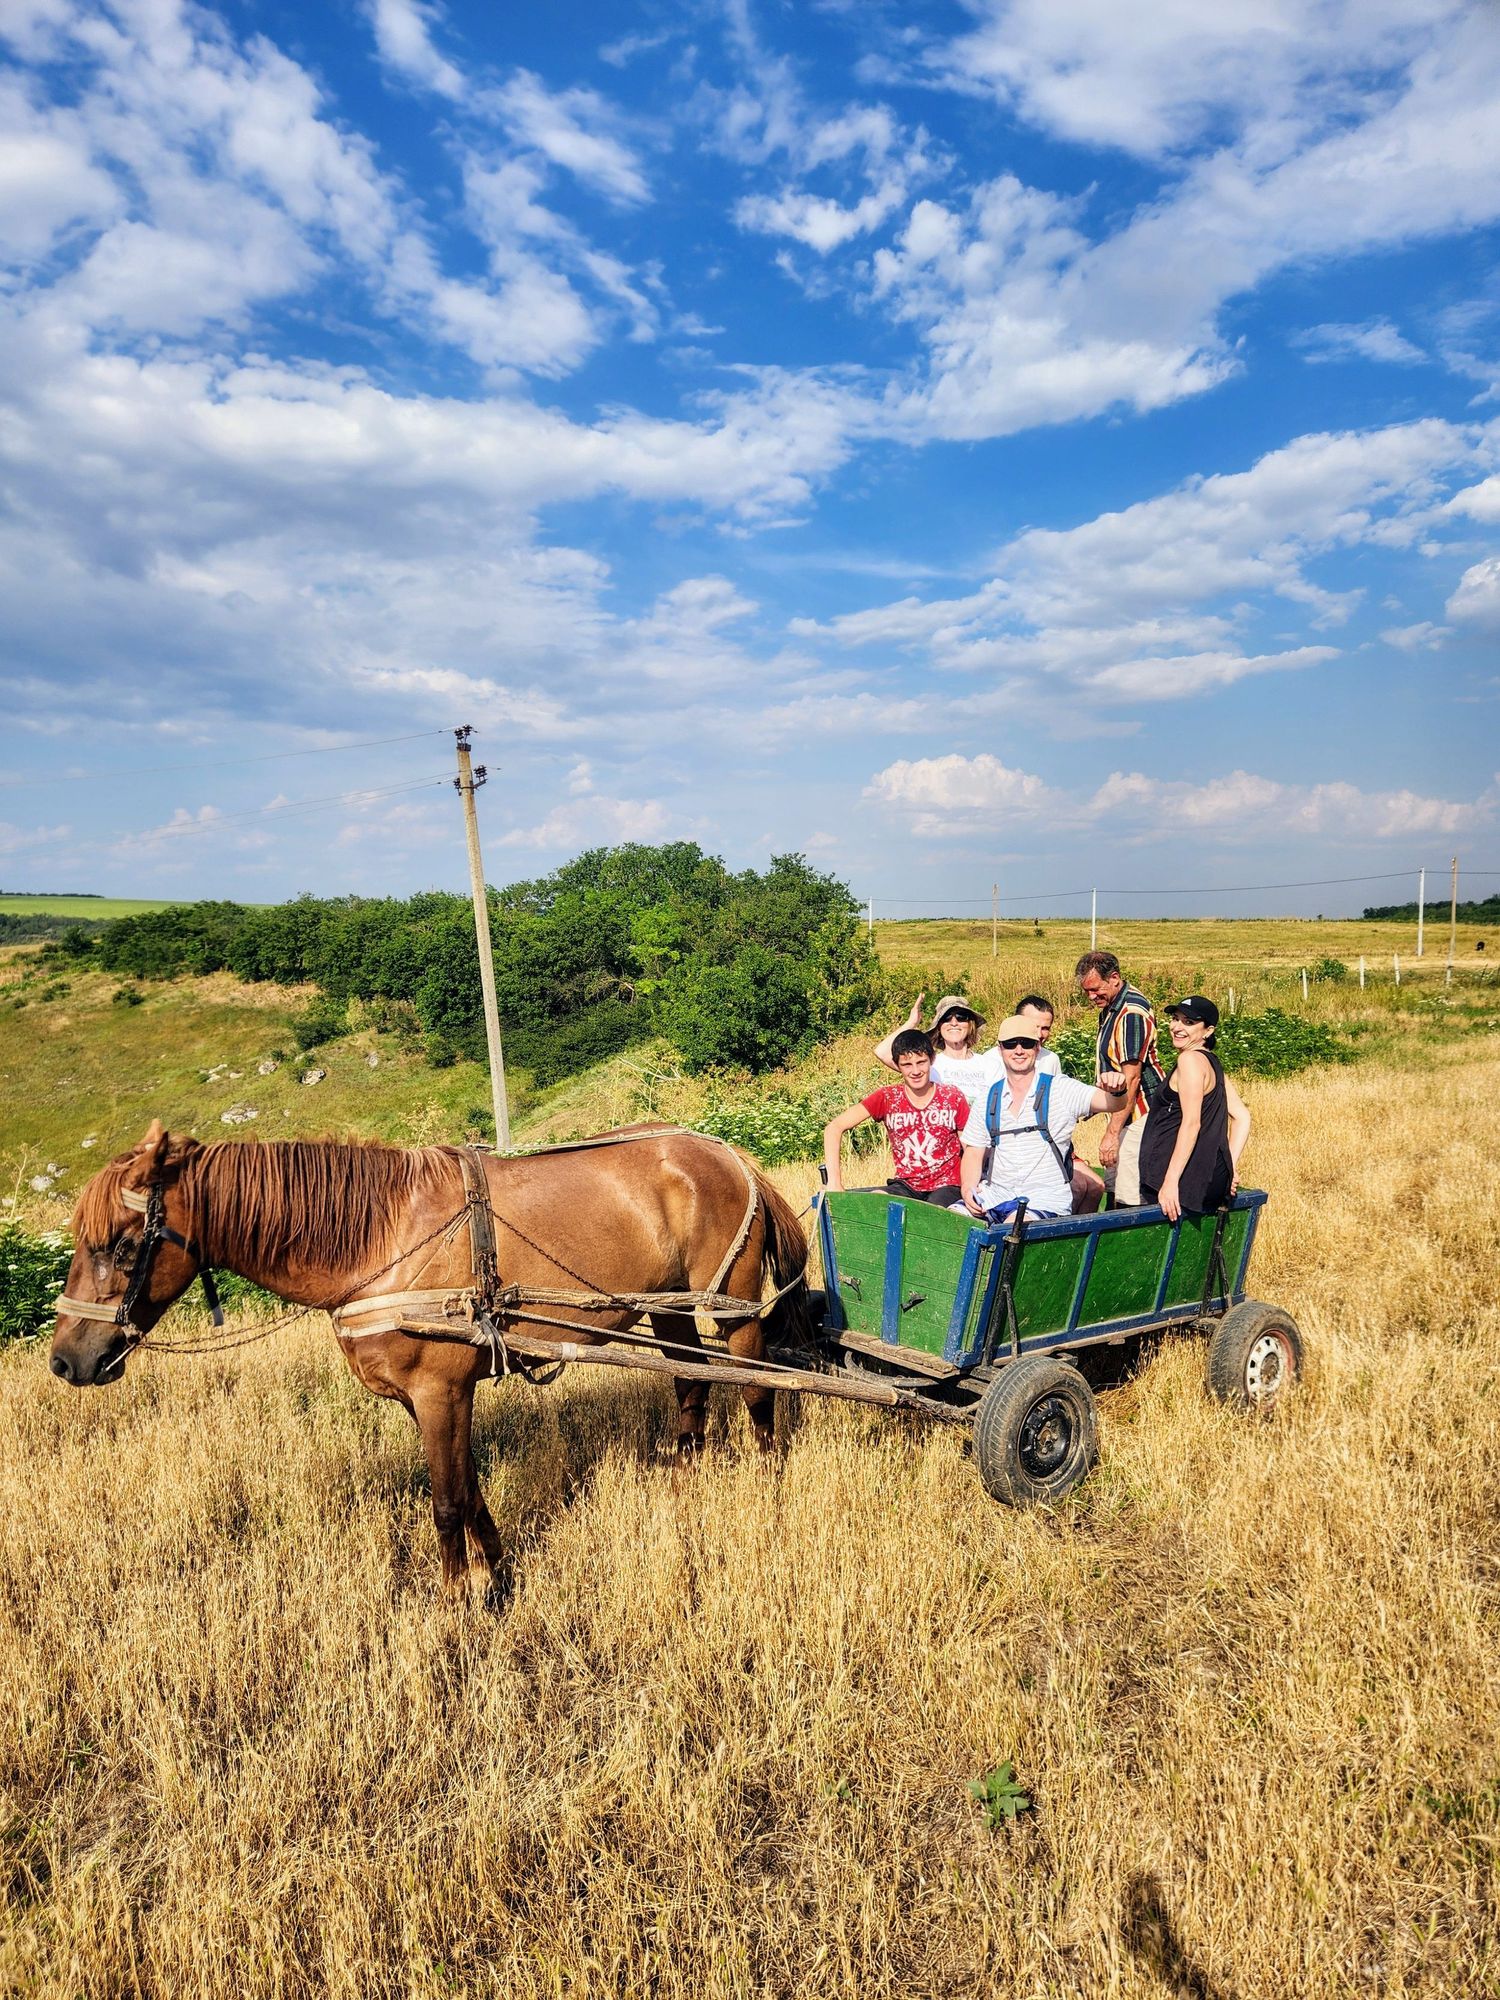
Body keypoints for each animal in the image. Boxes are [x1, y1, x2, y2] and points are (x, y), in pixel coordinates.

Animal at [49, 1120, 810, 1594]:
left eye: (123, 1245)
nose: (65, 1361)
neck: (377, 1238)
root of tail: (729, 1155)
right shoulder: (433, 1399)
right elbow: (469, 1489)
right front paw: (495, 1576)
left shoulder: (441, 1389)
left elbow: (446, 1501)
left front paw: (455, 1605)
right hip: (669, 1308)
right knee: (690, 1387)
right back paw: (685, 1483)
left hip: (734, 1307)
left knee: (756, 1392)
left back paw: (770, 1490)